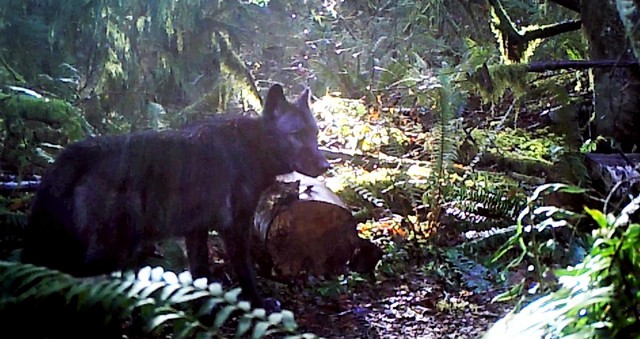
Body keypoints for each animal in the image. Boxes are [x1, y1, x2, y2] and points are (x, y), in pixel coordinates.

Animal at [21, 84, 330, 308]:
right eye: (297, 134)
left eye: (314, 133)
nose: (326, 166)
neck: (251, 148)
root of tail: (74, 153)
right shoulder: (235, 229)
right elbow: (246, 273)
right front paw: (259, 304)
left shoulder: (196, 230)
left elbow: (201, 273)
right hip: (114, 248)